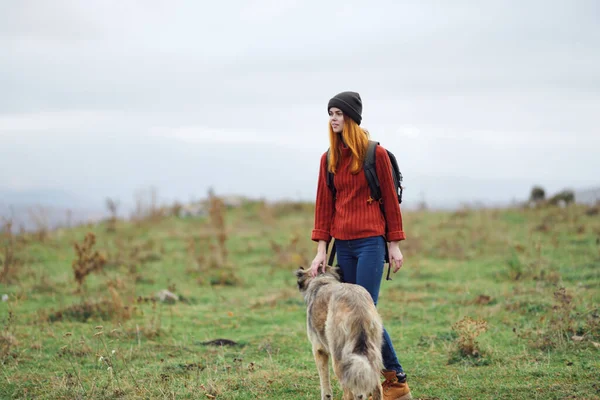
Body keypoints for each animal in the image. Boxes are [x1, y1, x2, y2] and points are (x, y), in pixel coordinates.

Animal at [296, 264, 384, 398]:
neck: (323, 279)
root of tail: (357, 306)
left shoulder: (318, 350)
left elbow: (325, 387)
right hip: (371, 354)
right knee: (377, 387)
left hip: (339, 359)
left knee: (349, 393)